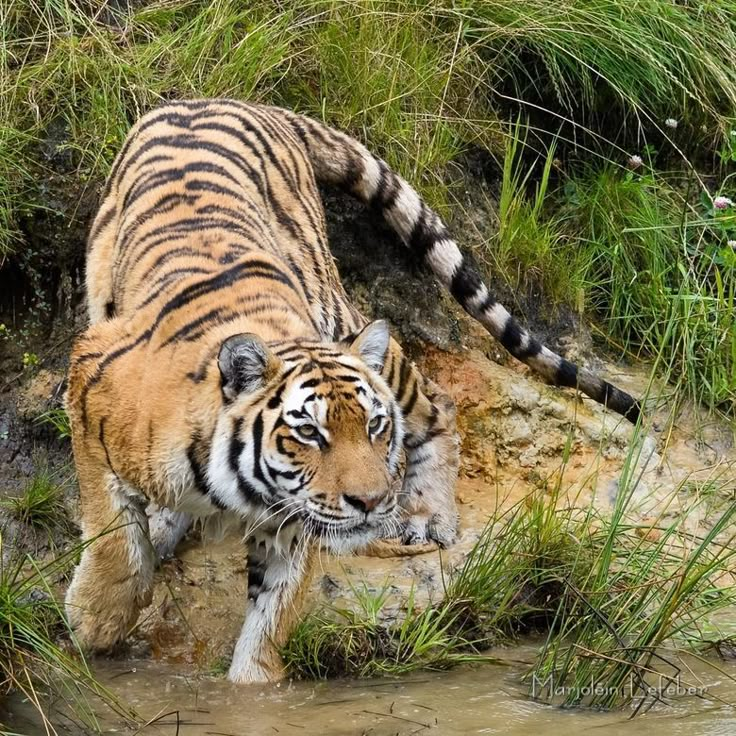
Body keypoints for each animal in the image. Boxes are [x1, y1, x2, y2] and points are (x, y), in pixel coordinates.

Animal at [63, 98, 640, 684]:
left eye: (374, 426)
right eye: (308, 433)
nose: (370, 502)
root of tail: (244, 102)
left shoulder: (292, 518)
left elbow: (273, 613)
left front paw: (255, 687)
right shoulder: (87, 386)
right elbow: (111, 532)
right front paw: (97, 621)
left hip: (342, 313)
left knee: (440, 405)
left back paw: (425, 515)